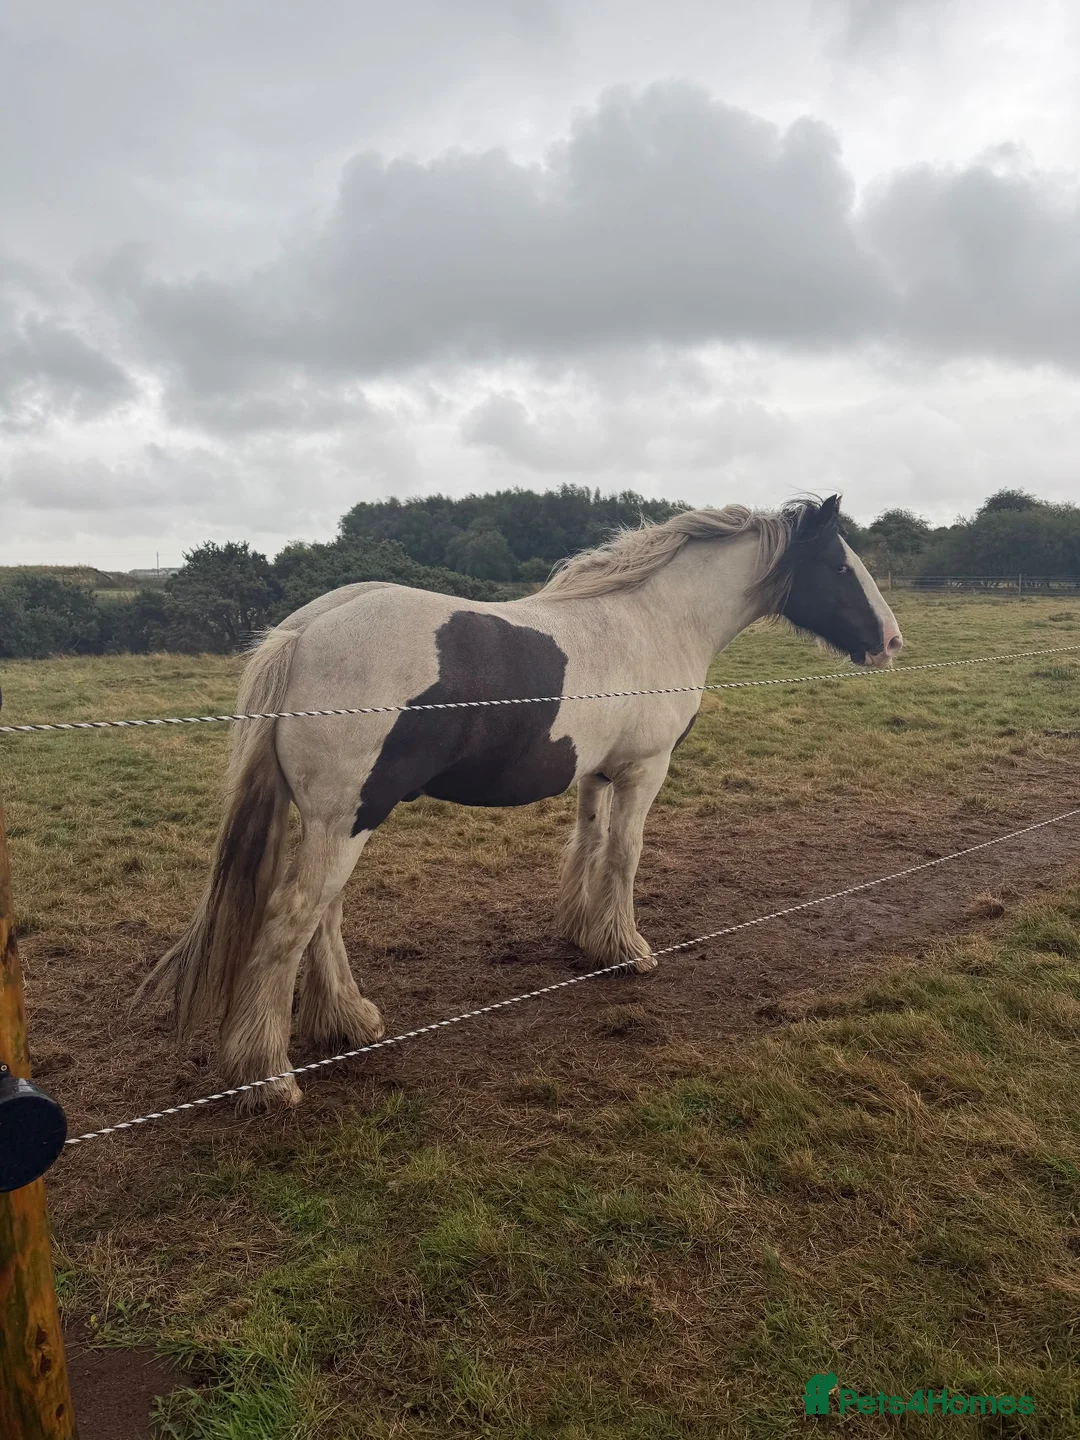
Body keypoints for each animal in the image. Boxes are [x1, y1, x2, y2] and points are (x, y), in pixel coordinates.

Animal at [139, 494, 902, 1106]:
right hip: (345, 820)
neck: (655, 619)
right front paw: (630, 949)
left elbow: (588, 847)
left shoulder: (599, 774)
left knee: (323, 915)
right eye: (839, 566)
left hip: (338, 821)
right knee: (292, 920)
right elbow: (625, 856)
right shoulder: (644, 771)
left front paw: (586, 937)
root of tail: (303, 632)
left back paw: (349, 1021)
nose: (891, 641)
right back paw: (270, 1076)